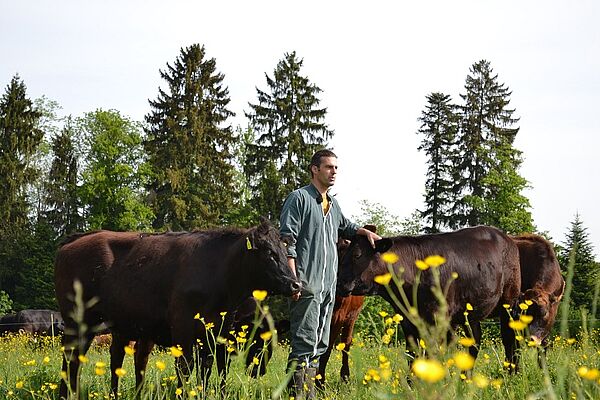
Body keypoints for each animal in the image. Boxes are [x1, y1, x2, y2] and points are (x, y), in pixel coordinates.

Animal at [54, 219, 302, 400]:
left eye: (284, 250)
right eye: (269, 252)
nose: (295, 284)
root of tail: (76, 240)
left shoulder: (213, 332)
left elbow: (207, 369)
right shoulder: (183, 327)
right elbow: (185, 367)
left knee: (114, 358)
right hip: (78, 321)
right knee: (71, 357)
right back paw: (67, 394)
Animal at [338, 227, 520, 370]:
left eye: (357, 255)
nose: (339, 282)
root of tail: (505, 237)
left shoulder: (437, 319)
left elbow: (433, 354)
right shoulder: (407, 320)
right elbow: (412, 355)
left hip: (509, 302)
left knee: (510, 339)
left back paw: (512, 374)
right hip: (470, 313)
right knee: (474, 343)